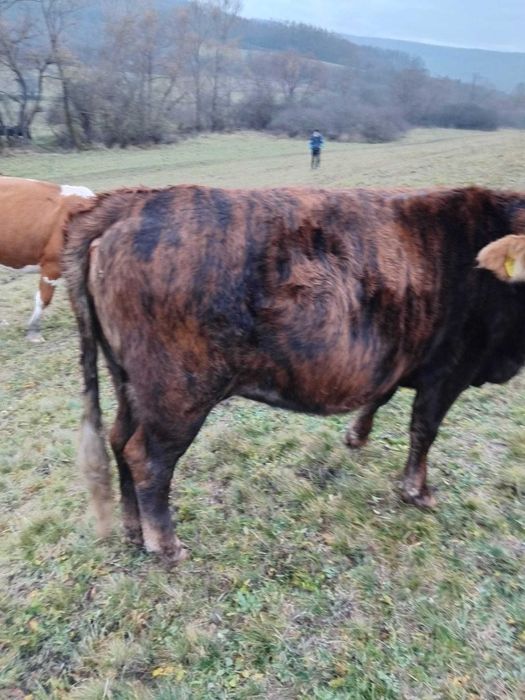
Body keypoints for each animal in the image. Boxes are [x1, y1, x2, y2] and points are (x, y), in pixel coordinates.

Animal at [63, 185, 525, 564]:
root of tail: (135, 202)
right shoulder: (450, 369)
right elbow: (424, 429)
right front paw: (418, 492)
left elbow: (382, 396)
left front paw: (356, 436)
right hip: (177, 395)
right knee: (148, 460)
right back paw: (165, 546)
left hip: (129, 383)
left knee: (119, 441)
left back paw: (133, 530)